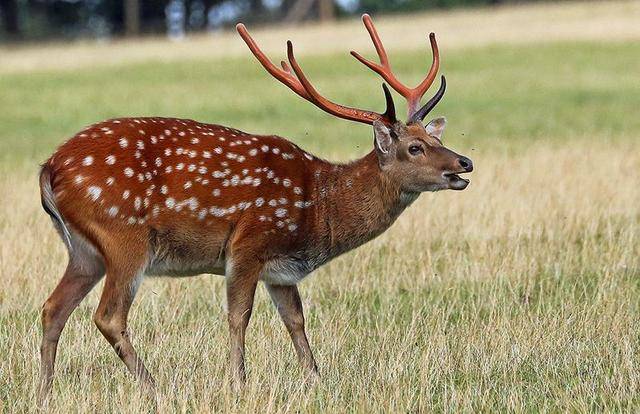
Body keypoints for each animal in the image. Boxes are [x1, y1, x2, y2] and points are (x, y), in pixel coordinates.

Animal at [37, 14, 472, 400]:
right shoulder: (249, 243)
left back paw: (45, 394)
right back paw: (157, 389)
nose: (464, 164)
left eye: (435, 139)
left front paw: (318, 381)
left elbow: (296, 320)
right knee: (108, 316)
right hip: (124, 237)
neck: (317, 208)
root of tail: (50, 167)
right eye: (414, 148)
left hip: (85, 251)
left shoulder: (282, 271)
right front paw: (239, 385)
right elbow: (238, 316)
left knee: (52, 308)